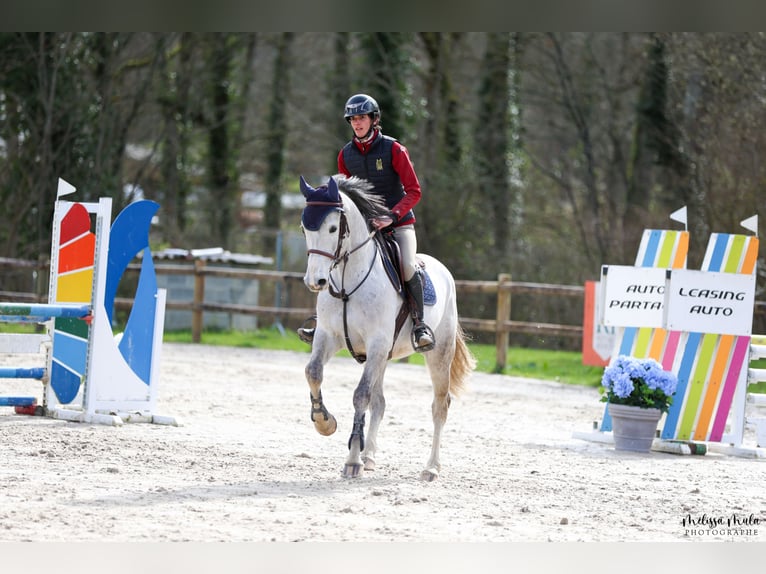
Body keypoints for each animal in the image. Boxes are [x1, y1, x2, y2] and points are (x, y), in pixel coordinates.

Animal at [298, 174, 474, 482]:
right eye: (304, 227)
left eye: (333, 228)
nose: (315, 281)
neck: (347, 282)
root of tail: (443, 270)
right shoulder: (329, 337)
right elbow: (314, 373)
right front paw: (325, 423)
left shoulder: (377, 343)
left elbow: (360, 395)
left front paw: (352, 461)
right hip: (382, 357)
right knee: (379, 402)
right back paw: (369, 457)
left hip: (437, 354)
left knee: (440, 406)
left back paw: (431, 468)